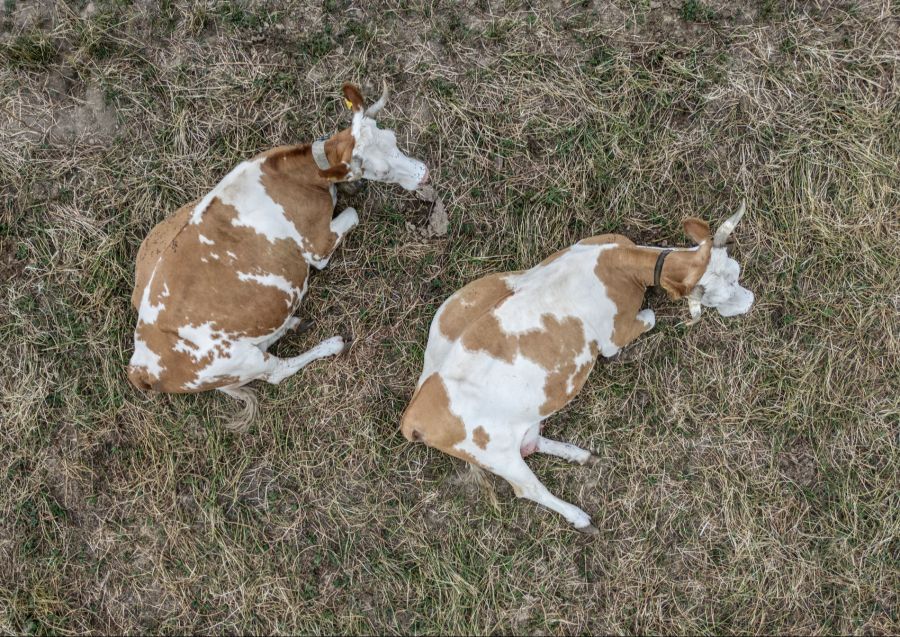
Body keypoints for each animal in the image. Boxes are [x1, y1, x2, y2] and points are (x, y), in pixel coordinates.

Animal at [127, 82, 429, 430]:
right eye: (382, 170)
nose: (424, 173)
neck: (301, 176)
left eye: (393, 138)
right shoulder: (318, 246)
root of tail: (140, 368)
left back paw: (294, 324)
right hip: (239, 360)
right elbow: (352, 212)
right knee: (278, 372)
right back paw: (329, 344)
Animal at [400, 205, 753, 534]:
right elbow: (650, 318)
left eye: (735, 272)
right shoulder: (613, 337)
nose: (750, 300)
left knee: (532, 441)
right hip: (495, 453)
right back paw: (579, 517)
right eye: (723, 290)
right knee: (528, 488)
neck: (620, 264)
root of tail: (413, 415)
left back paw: (577, 455)